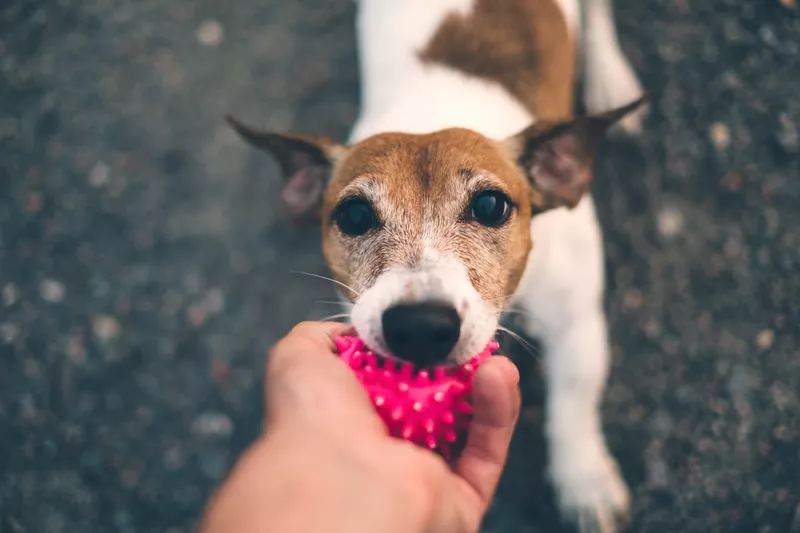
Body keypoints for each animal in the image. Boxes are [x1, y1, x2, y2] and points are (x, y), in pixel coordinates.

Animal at [228, 2, 648, 528]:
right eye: (354, 216)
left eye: (490, 206)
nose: (421, 326)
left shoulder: (577, 324)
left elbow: (573, 406)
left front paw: (584, 481)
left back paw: (612, 80)